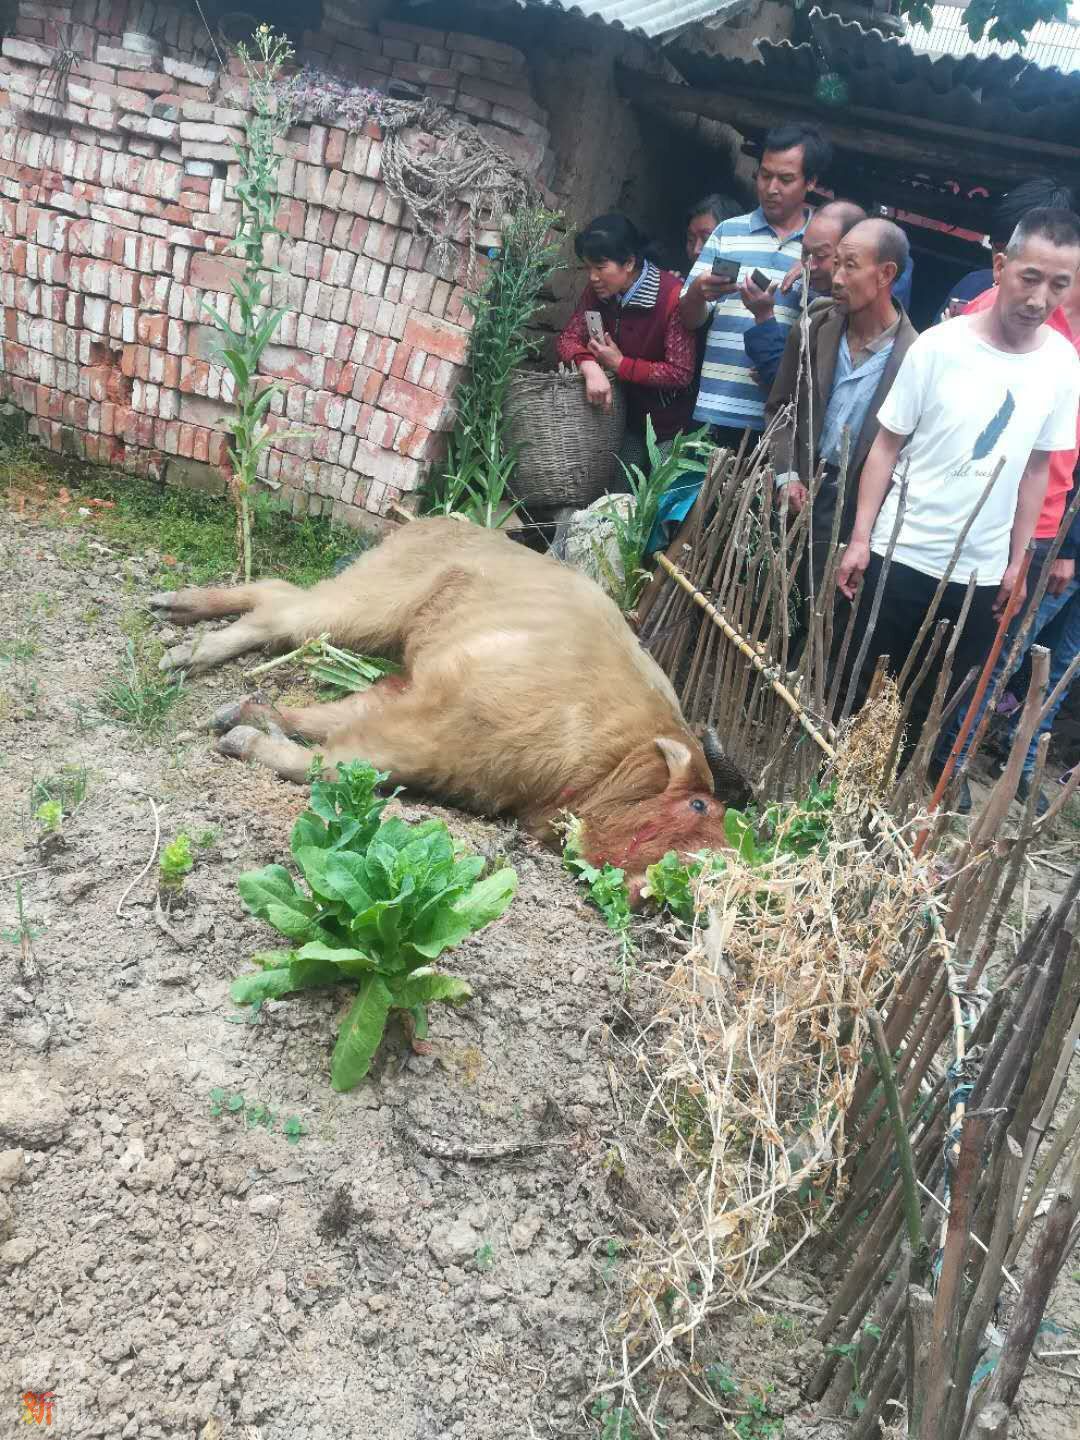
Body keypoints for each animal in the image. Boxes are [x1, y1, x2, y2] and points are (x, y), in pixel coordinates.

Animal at [150, 518, 754, 898]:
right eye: (699, 805)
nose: (706, 870)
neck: (612, 755)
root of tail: (436, 521)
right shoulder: (435, 729)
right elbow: (341, 763)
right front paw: (241, 738)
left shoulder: (411, 702)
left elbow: (327, 722)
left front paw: (240, 717)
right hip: (369, 606)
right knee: (282, 609)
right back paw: (182, 645)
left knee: (281, 595)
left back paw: (177, 611)